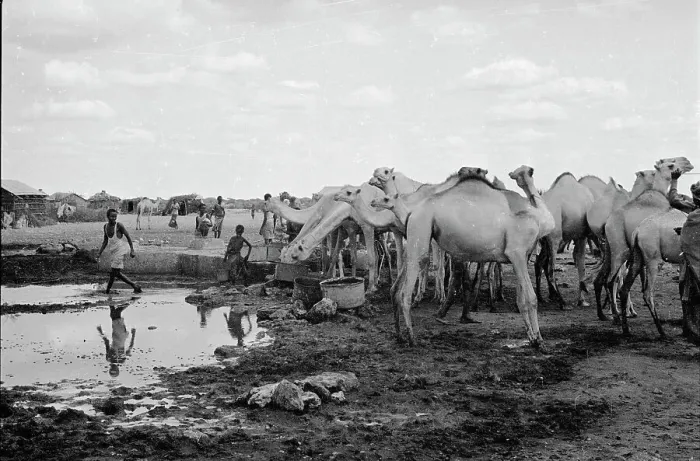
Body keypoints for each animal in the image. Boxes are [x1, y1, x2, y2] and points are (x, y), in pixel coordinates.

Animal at [386, 165, 555, 347]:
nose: (513, 173)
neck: (538, 218)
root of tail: (412, 213)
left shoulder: (521, 256)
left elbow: (521, 300)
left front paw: (532, 338)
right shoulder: (516, 252)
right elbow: (531, 298)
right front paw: (540, 340)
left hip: (414, 237)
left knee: (396, 288)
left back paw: (399, 336)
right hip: (421, 227)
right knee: (405, 292)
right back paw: (412, 338)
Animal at [535, 173, 595, 309]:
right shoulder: (582, 236)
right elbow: (581, 264)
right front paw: (582, 300)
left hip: (544, 241)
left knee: (539, 263)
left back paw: (541, 298)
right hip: (555, 238)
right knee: (551, 269)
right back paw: (562, 302)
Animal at [596, 157, 694, 335]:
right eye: (671, 164)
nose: (687, 161)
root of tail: (606, 223)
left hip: (612, 250)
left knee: (604, 279)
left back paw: (610, 316)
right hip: (623, 250)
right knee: (613, 280)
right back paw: (618, 317)